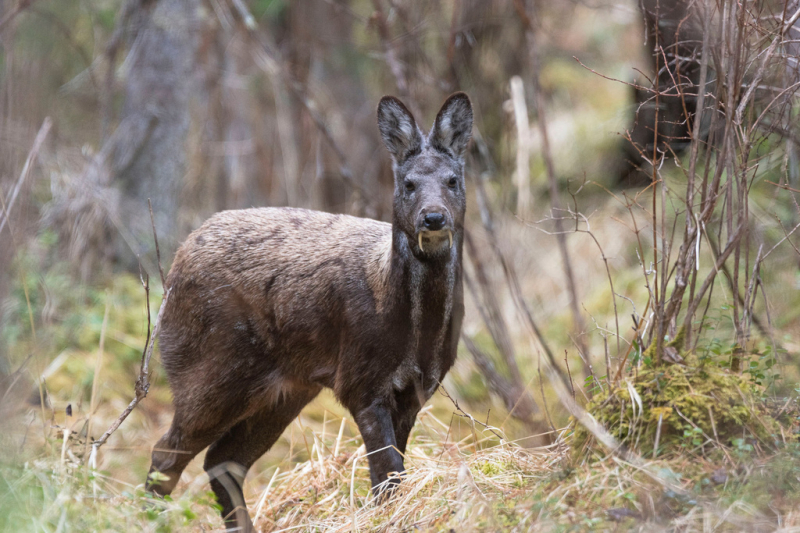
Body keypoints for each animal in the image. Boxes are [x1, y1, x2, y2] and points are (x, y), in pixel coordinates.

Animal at [146, 92, 473, 531]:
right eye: (408, 183)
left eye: (453, 180)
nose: (433, 217)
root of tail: (176, 264)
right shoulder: (360, 379)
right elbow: (385, 474)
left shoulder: (418, 389)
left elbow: (395, 472)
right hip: (207, 371)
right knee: (167, 455)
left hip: (286, 389)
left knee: (223, 460)